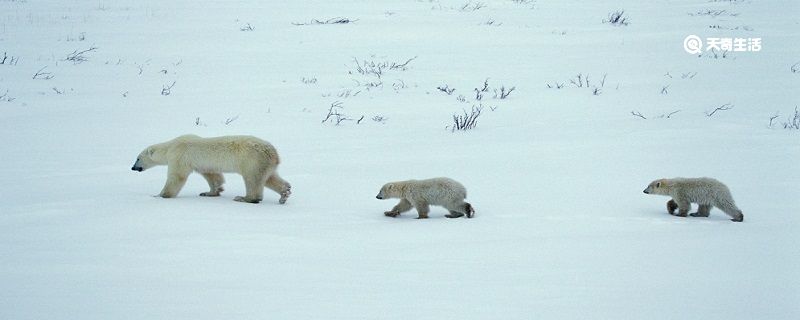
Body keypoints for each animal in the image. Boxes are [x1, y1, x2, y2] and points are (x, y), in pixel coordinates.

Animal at [133, 134, 292, 204]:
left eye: (137, 158)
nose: (133, 167)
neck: (169, 147)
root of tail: (273, 153)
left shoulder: (179, 156)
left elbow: (177, 176)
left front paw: (160, 195)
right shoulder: (203, 165)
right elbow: (213, 176)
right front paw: (209, 192)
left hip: (251, 160)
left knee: (252, 179)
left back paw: (244, 198)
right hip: (264, 163)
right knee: (269, 178)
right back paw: (285, 193)